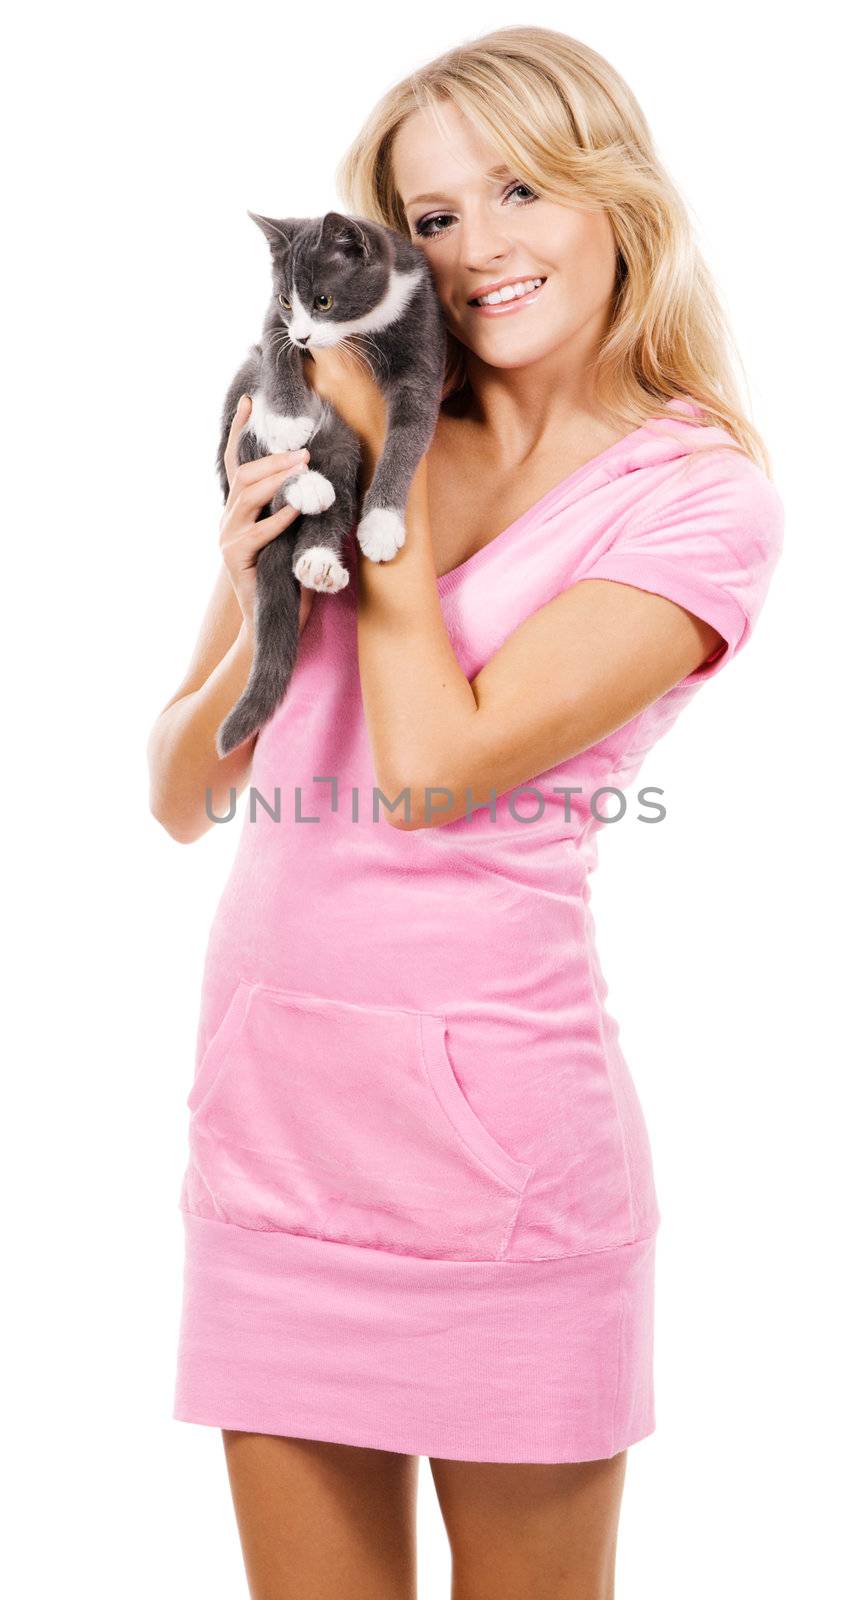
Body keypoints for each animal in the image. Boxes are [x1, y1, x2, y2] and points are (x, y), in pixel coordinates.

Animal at [214, 208, 445, 755]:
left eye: (323, 301)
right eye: (285, 299)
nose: (304, 337)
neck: (365, 327)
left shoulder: (422, 348)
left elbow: (407, 439)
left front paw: (381, 525)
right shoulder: (271, 328)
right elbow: (275, 355)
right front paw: (287, 419)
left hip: (342, 446)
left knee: (329, 503)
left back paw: (319, 561)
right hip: (242, 404)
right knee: (259, 450)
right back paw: (303, 481)